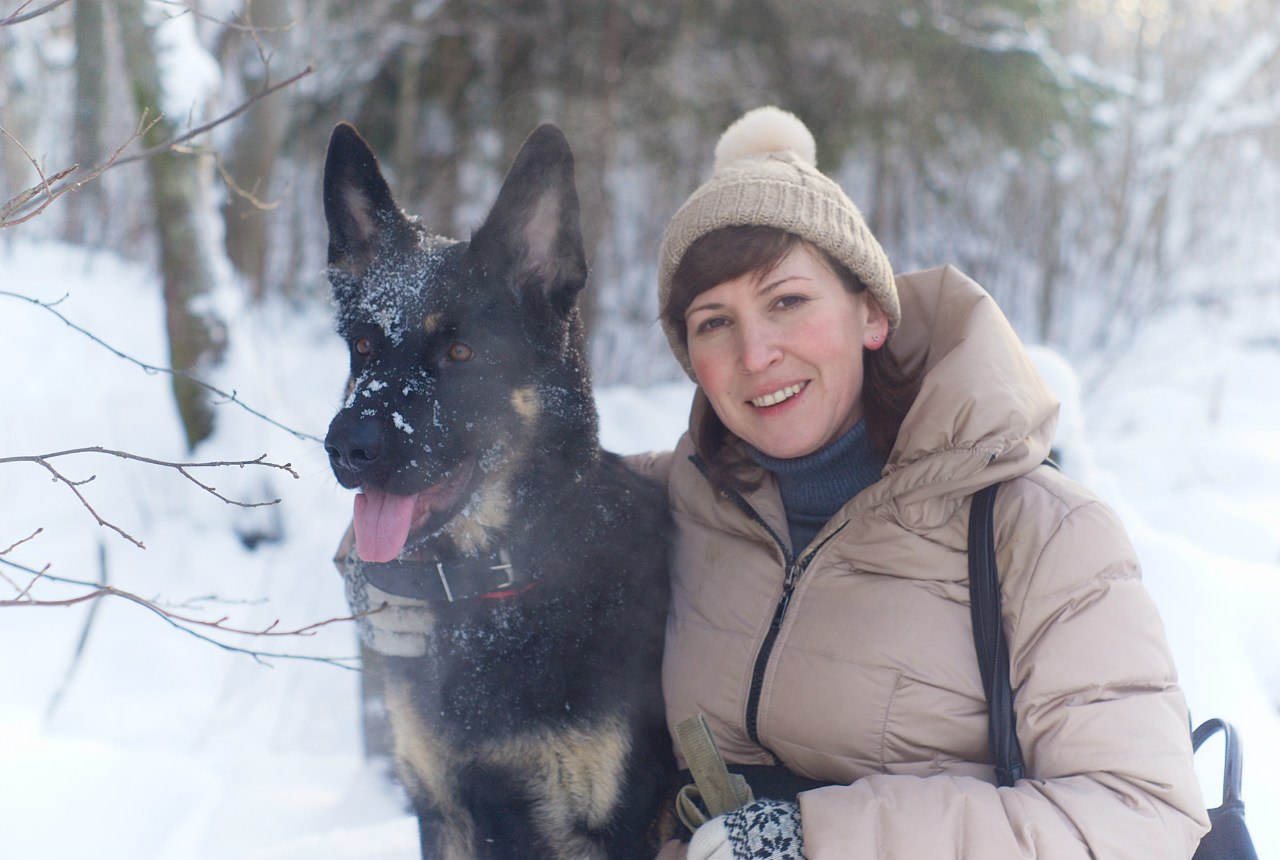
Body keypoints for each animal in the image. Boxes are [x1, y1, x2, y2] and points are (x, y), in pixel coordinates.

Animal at [322, 121, 675, 859]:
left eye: (460, 354)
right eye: (364, 346)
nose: (347, 446)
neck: (493, 589)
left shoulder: (617, 831)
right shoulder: (444, 813)